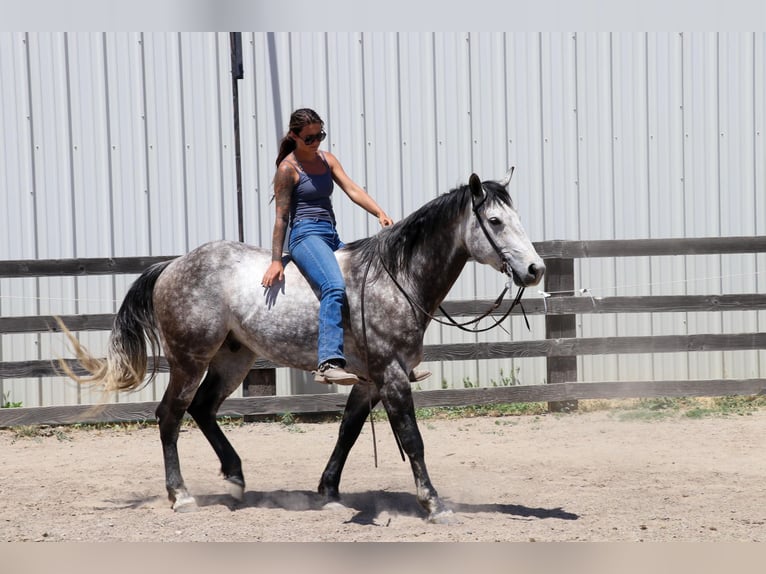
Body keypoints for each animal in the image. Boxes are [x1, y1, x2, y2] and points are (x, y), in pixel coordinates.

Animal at [64, 169, 544, 524]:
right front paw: (434, 503)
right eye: (496, 222)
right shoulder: (391, 376)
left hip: (233, 359)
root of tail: (172, 265)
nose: (535, 269)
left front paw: (328, 491)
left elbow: (348, 432)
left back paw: (235, 479)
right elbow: (413, 439)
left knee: (202, 409)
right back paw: (180, 495)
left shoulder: (369, 380)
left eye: (518, 219)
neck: (395, 278)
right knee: (170, 416)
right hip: (189, 360)